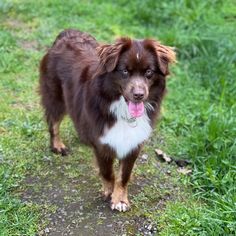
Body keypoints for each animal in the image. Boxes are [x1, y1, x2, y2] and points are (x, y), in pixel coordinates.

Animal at [38, 29, 175, 212]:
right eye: (125, 71)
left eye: (149, 72)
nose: (139, 95)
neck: (121, 108)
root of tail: (66, 33)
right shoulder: (103, 142)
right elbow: (108, 172)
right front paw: (109, 194)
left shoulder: (134, 143)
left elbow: (124, 175)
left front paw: (121, 200)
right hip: (55, 95)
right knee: (53, 122)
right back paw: (57, 146)